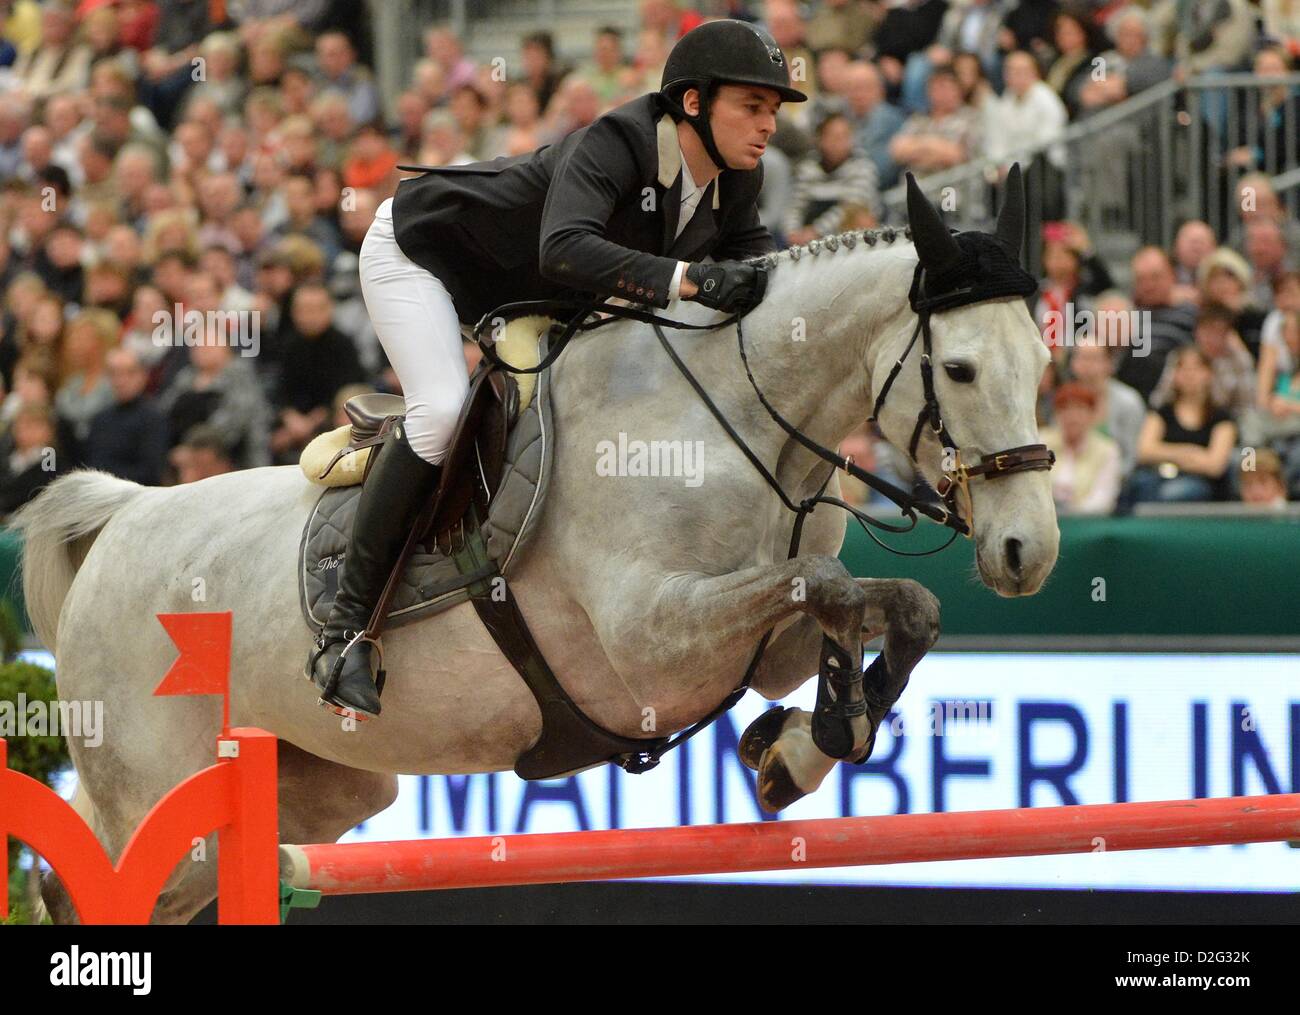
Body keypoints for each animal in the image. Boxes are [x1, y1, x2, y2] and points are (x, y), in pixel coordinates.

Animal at [13, 173, 1057, 923]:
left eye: (1048, 360)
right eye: (959, 368)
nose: (1029, 552)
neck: (736, 421)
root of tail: (125, 516)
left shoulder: (759, 645)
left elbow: (885, 602)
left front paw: (800, 746)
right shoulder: (650, 645)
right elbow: (824, 580)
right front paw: (818, 734)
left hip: (319, 789)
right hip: (155, 786)